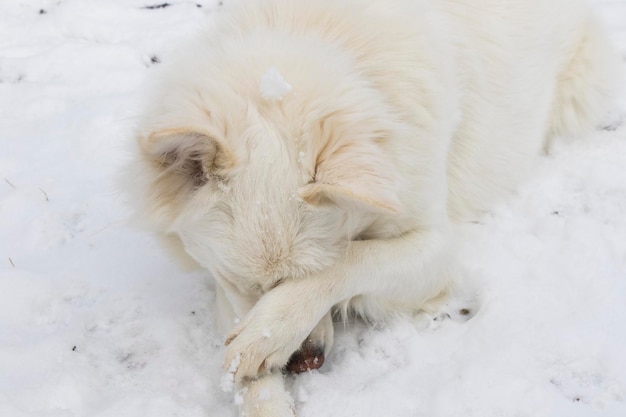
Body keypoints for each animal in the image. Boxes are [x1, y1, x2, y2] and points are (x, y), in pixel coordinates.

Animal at [128, 0, 620, 412]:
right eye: (243, 282)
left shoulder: (436, 247)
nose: (304, 363)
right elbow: (247, 370)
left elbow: (349, 260)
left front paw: (275, 329)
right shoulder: (223, 289)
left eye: (301, 277)